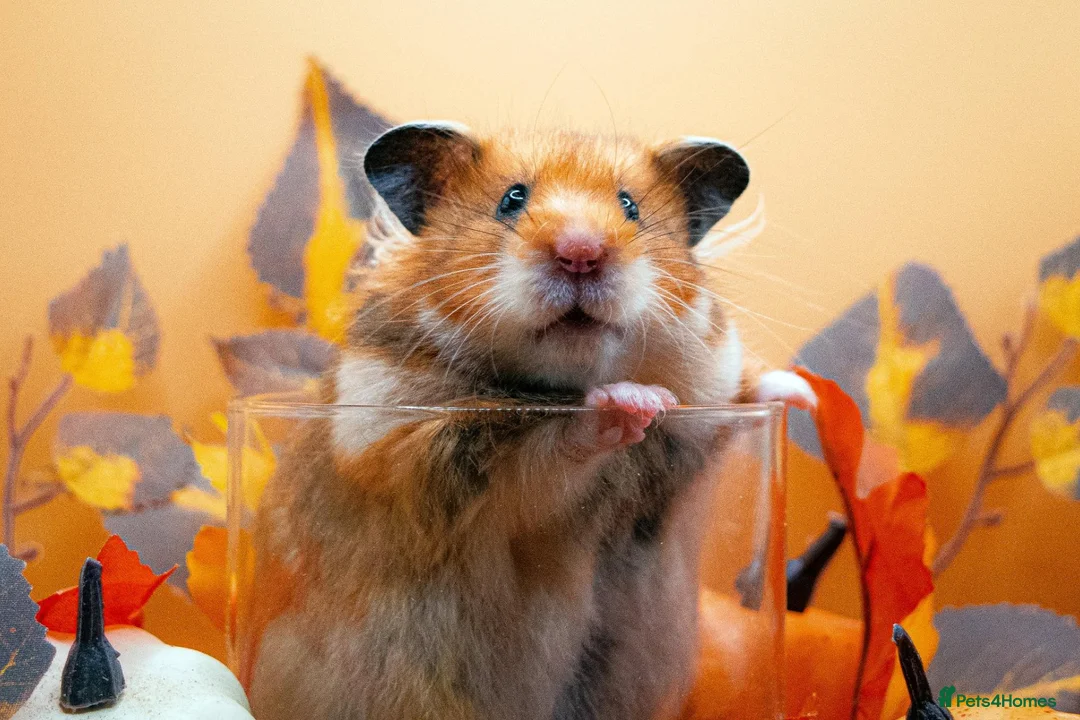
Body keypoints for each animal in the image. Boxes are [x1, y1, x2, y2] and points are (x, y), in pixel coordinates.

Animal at [246, 123, 814, 720]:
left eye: (630, 206)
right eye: (511, 200)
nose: (581, 253)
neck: (559, 380)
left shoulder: (703, 403)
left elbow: (744, 392)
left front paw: (805, 395)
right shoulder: (436, 467)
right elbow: (548, 453)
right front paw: (632, 402)